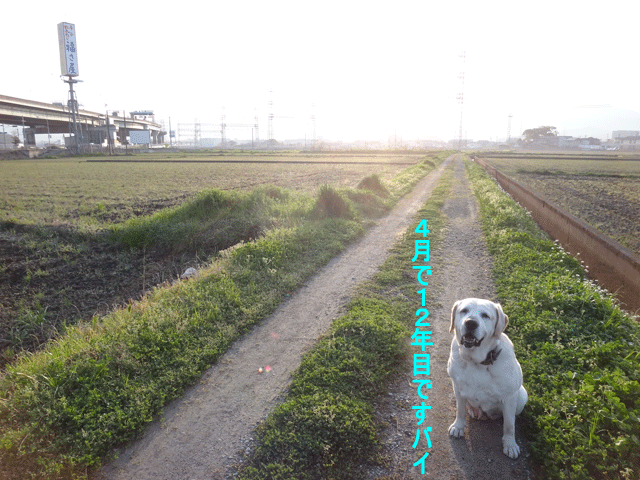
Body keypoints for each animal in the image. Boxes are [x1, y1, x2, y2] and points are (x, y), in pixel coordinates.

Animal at [448, 298, 528, 460]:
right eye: (464, 311)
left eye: (485, 315)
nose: (471, 323)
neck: (477, 362)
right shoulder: (457, 388)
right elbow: (460, 410)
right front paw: (458, 426)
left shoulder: (510, 397)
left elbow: (509, 424)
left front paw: (510, 444)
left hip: (522, 396)